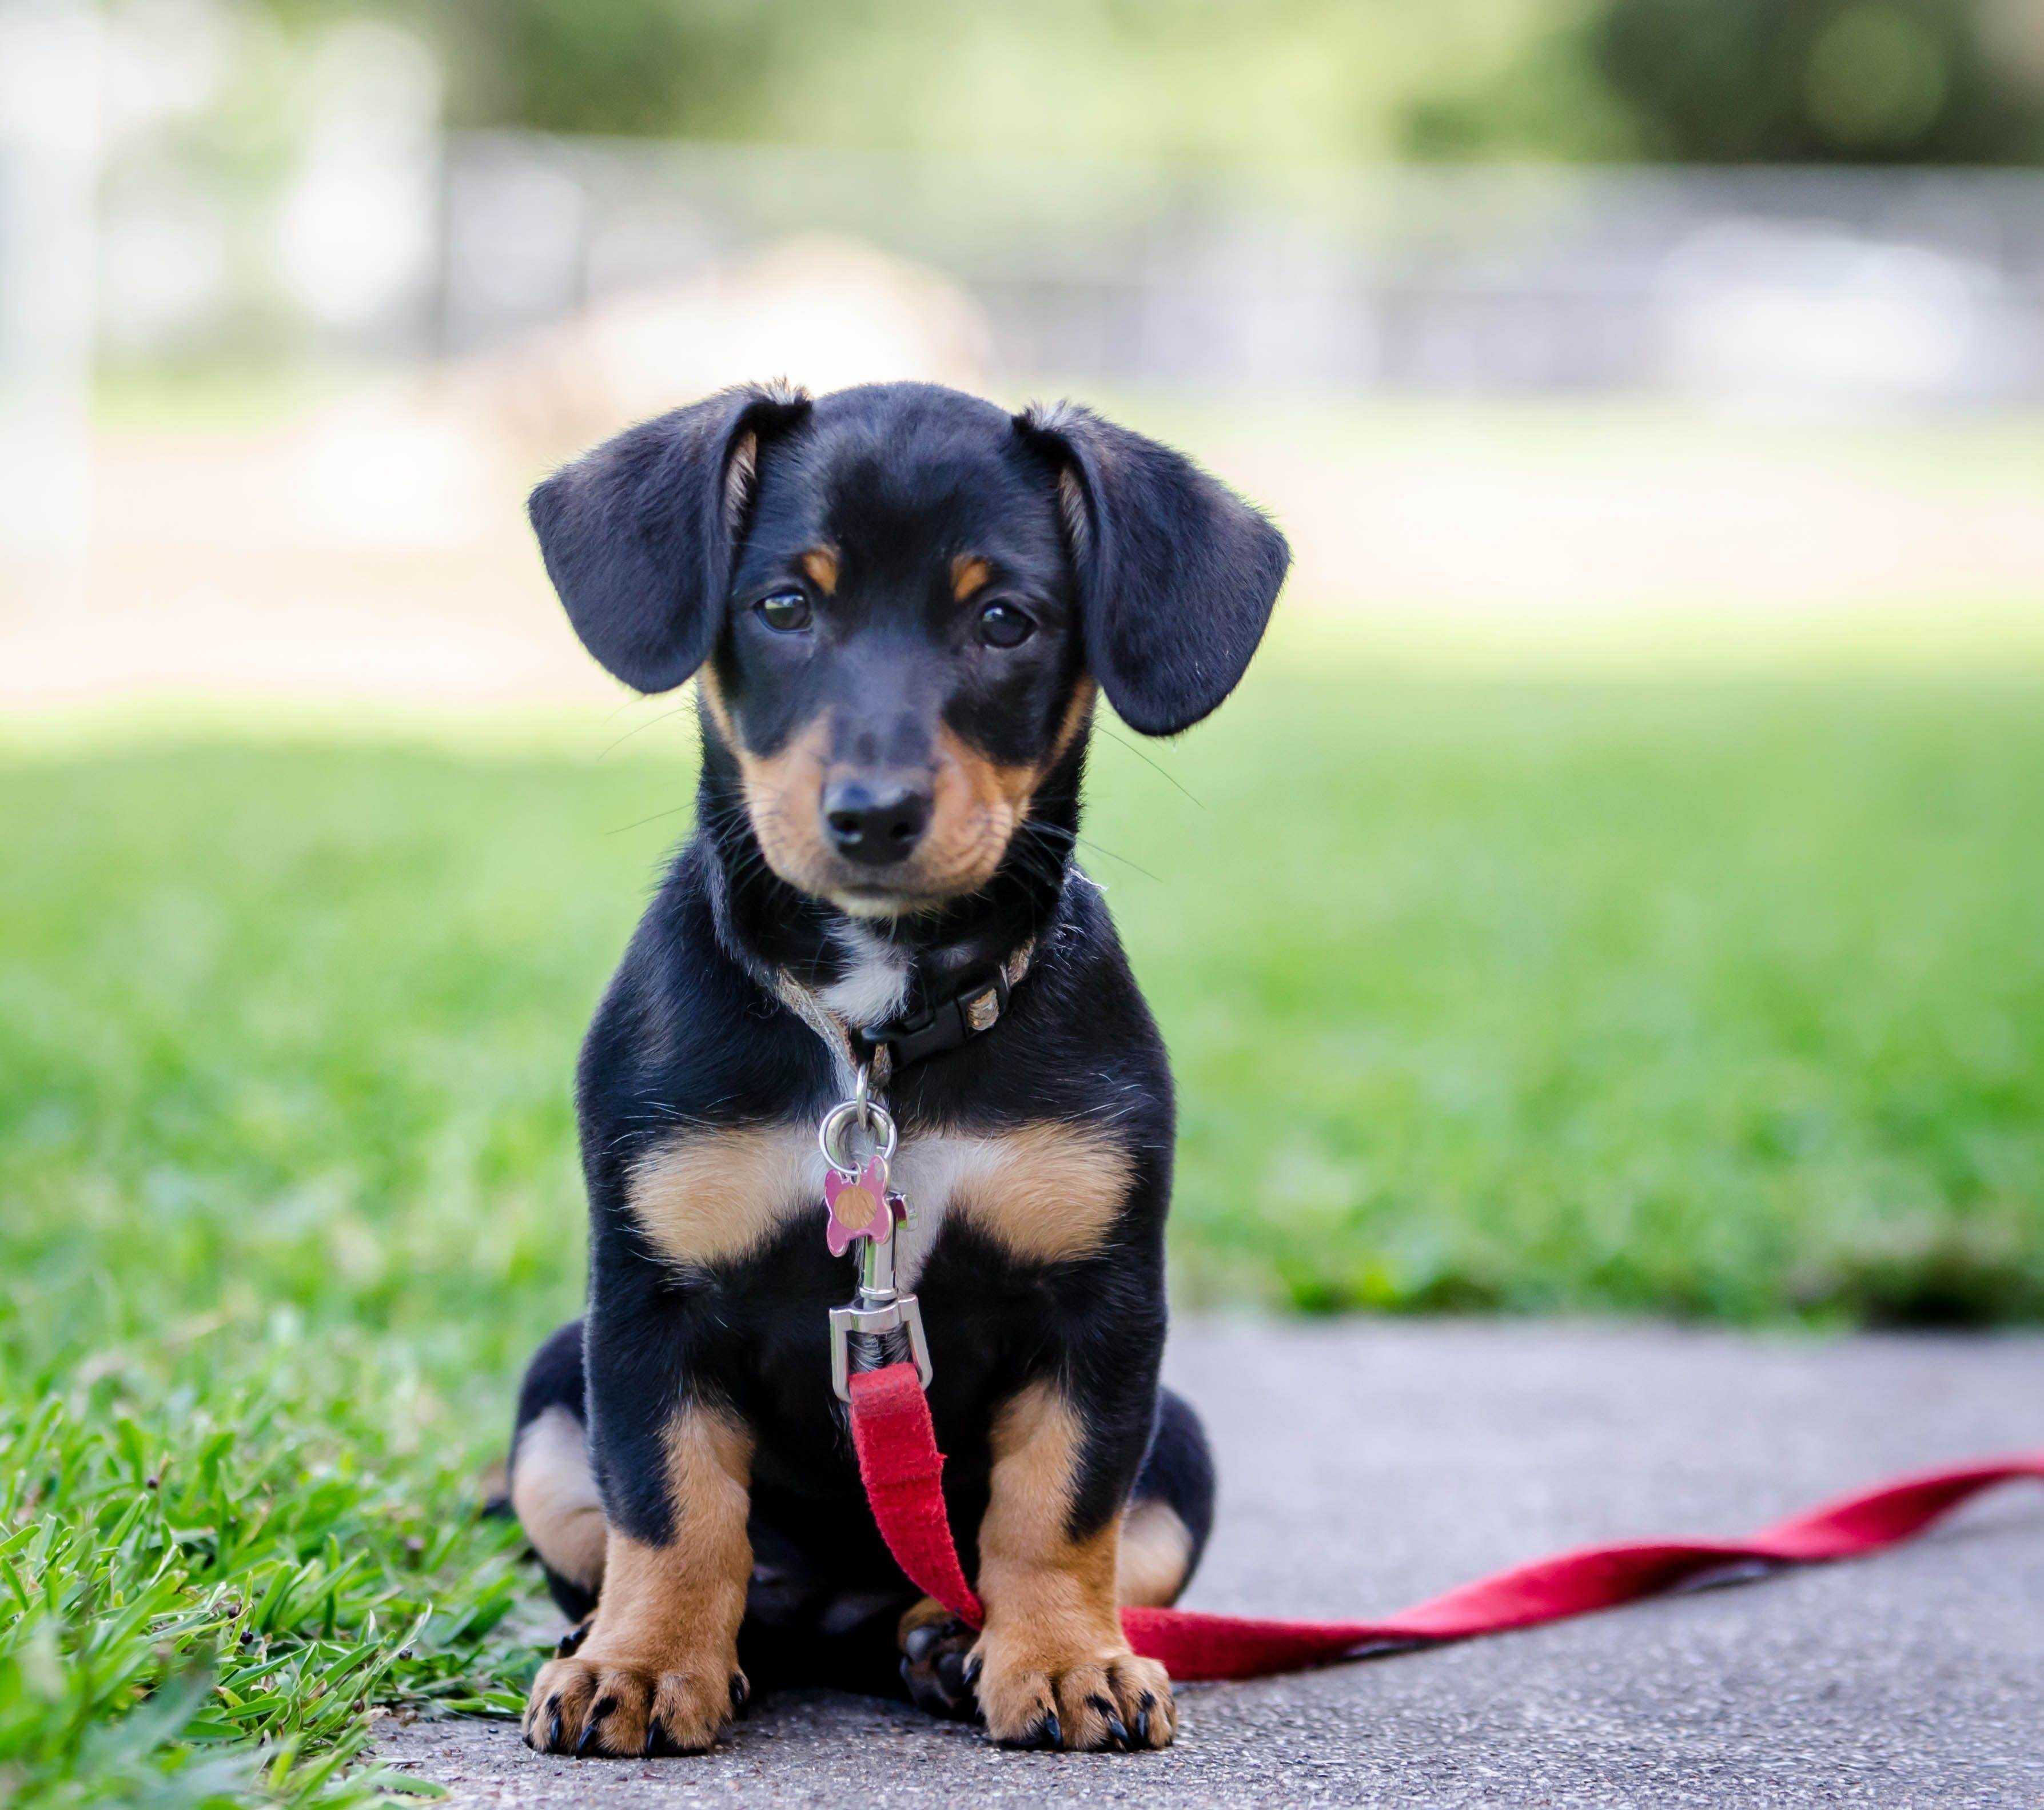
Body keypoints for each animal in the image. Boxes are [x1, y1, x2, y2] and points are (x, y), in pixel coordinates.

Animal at [503, 382, 1284, 1757]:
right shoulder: (647, 1302)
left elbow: (1057, 1509)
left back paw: (943, 1636)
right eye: (783, 606)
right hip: (551, 1381)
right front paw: (640, 1664)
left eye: (1003, 619)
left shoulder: (1101, 1307)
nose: (872, 813)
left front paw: (1065, 1659)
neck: (875, 1031)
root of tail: (838, 1615)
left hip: (1182, 1436)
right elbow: (670, 1504)